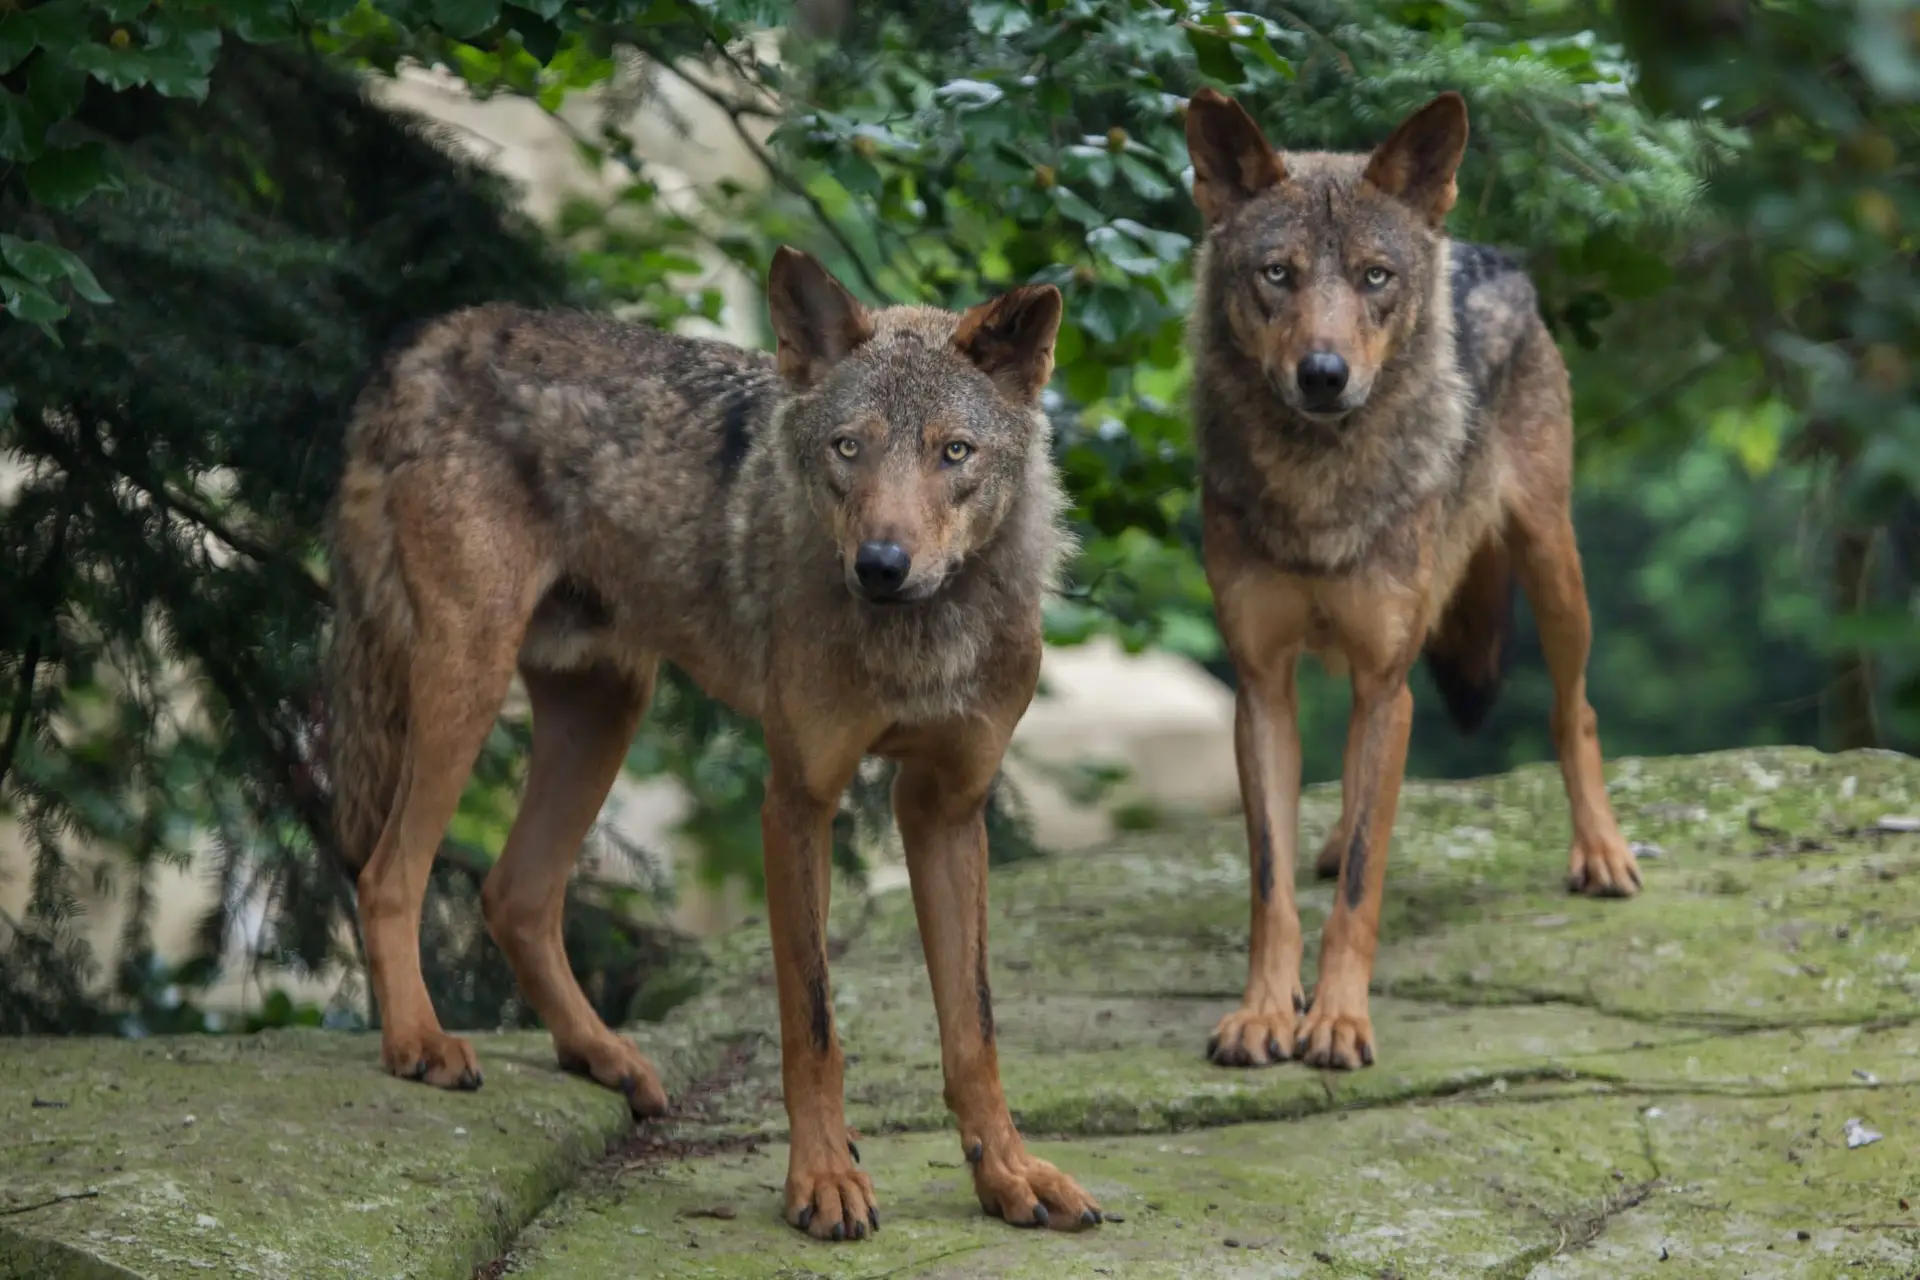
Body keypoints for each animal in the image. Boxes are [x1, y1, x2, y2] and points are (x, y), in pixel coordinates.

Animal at [323, 247, 1103, 1240]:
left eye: (952, 452)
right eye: (848, 448)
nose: (880, 566)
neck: (923, 639)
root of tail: (429, 337)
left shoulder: (948, 810)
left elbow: (977, 1030)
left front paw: (1008, 1173)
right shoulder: (798, 801)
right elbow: (813, 1022)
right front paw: (823, 1179)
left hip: (607, 708)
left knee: (513, 893)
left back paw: (602, 1054)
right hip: (466, 682)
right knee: (390, 873)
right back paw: (419, 1042)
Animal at [1181, 88, 1643, 1073]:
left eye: (1373, 277)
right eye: (1277, 275)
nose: (1323, 375)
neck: (1317, 486)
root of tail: (1487, 251)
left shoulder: (1384, 677)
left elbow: (1363, 883)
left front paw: (1338, 1019)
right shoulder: (1261, 687)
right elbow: (1271, 882)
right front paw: (1265, 1011)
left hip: (1553, 569)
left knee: (1574, 710)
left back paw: (1601, 852)